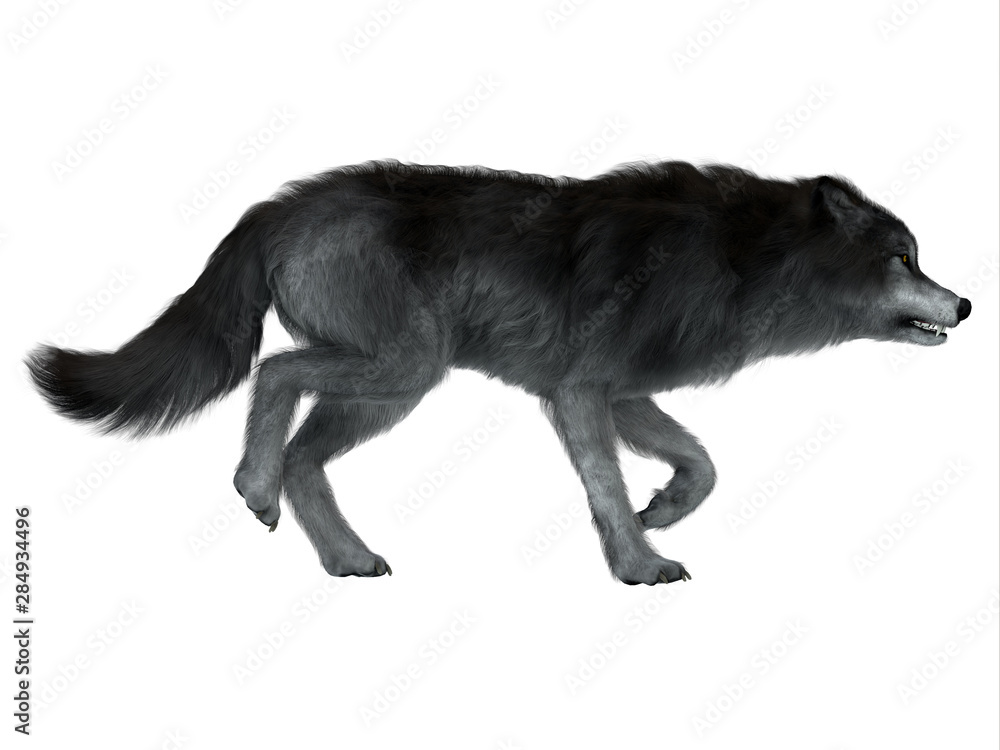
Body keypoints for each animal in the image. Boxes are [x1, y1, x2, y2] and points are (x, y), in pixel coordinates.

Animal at [26, 160, 971, 585]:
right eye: (905, 257)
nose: (964, 306)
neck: (745, 258)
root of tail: (278, 204)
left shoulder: (614, 391)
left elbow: (702, 463)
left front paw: (661, 512)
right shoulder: (582, 392)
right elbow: (607, 487)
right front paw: (638, 563)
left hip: (389, 392)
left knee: (302, 454)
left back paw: (346, 557)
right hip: (402, 372)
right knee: (276, 377)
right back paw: (253, 486)